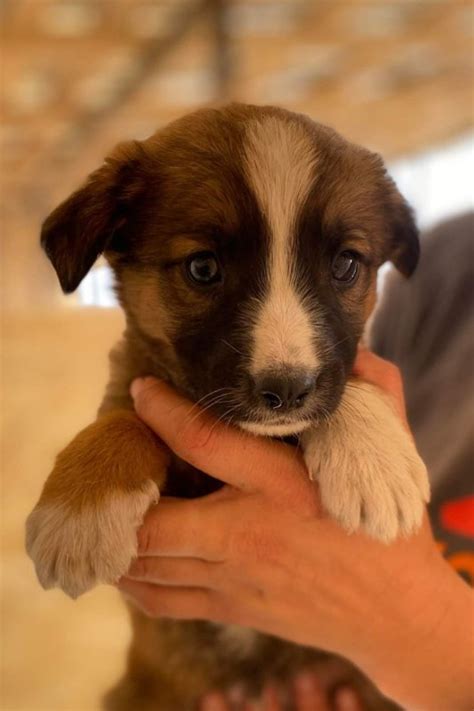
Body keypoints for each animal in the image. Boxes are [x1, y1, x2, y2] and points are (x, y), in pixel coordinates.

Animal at [25, 105, 430, 711]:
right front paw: (78, 516)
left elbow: (351, 376)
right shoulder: (136, 380)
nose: (287, 390)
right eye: (202, 268)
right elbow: (121, 419)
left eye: (345, 265)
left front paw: (375, 464)